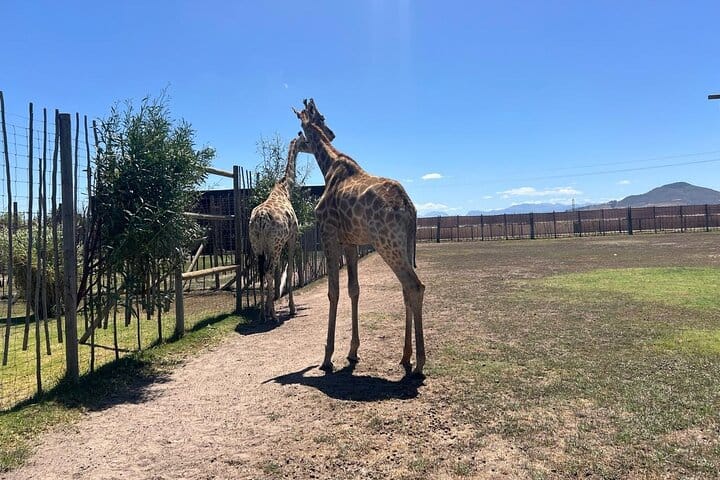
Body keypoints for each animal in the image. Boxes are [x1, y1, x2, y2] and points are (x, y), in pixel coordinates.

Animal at [249, 132, 309, 322]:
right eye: (305, 142)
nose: (311, 146)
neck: (284, 189)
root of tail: (260, 219)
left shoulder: (267, 247)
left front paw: (268, 309)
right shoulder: (292, 237)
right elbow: (288, 271)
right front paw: (292, 309)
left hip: (257, 246)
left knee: (262, 272)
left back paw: (262, 314)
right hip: (275, 244)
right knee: (268, 271)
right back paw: (274, 316)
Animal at [293, 99, 426, 375]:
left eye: (301, 130)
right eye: (322, 119)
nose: (331, 133)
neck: (329, 166)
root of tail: (409, 208)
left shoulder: (329, 234)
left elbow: (333, 292)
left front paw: (328, 358)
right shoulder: (350, 242)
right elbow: (354, 289)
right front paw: (352, 352)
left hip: (388, 244)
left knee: (415, 286)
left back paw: (419, 362)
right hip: (405, 245)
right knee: (406, 290)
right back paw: (405, 356)